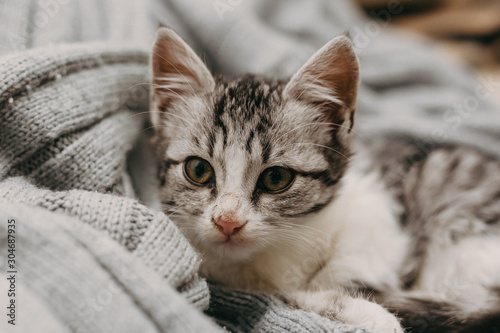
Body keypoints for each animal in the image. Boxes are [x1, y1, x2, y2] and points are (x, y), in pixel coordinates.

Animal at [149, 27, 500, 330]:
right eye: (198, 170)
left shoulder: (379, 213)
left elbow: (338, 271)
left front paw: (363, 307)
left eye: (276, 178)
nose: (228, 222)